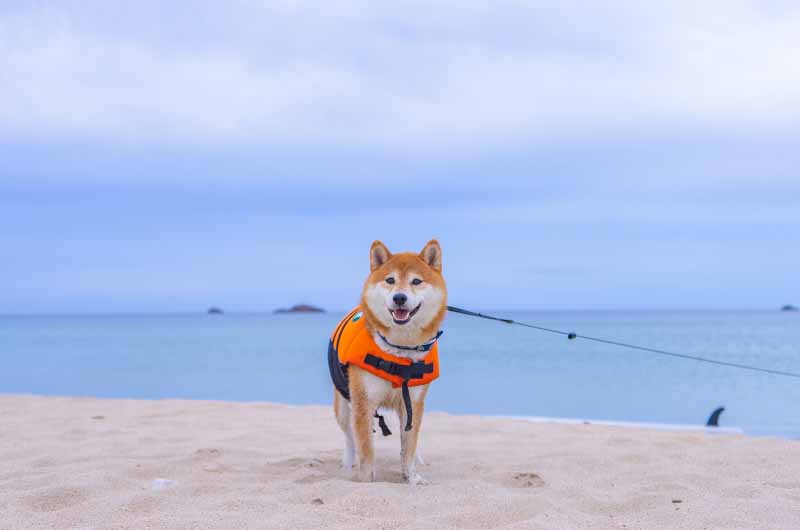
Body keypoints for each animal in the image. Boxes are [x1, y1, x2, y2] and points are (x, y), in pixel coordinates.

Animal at [328, 239, 446, 482]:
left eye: (416, 281)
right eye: (390, 280)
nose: (399, 297)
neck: (399, 350)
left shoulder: (412, 402)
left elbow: (409, 446)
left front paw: (412, 478)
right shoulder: (363, 401)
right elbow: (366, 450)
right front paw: (366, 480)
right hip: (343, 406)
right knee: (349, 437)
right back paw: (348, 463)